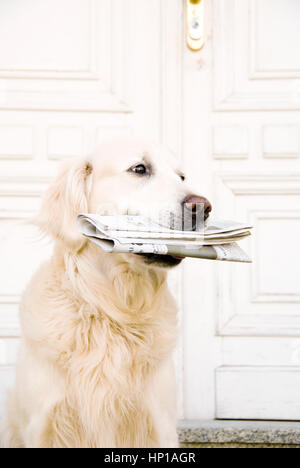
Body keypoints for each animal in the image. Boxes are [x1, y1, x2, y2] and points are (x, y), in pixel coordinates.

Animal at [0, 141, 211, 448]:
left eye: (181, 176)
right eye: (139, 168)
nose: (203, 207)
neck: (112, 311)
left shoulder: (158, 423)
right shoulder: (44, 423)